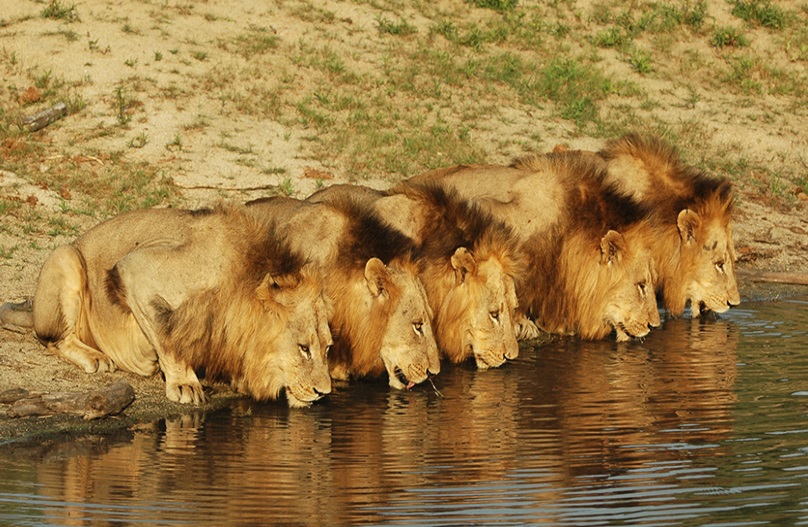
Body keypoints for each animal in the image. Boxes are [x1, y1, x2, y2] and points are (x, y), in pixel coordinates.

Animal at [25, 204, 333, 407]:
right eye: (303, 348)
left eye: (328, 347)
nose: (324, 393)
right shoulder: (136, 269)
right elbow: (168, 336)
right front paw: (184, 383)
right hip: (67, 256)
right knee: (55, 339)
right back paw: (96, 358)